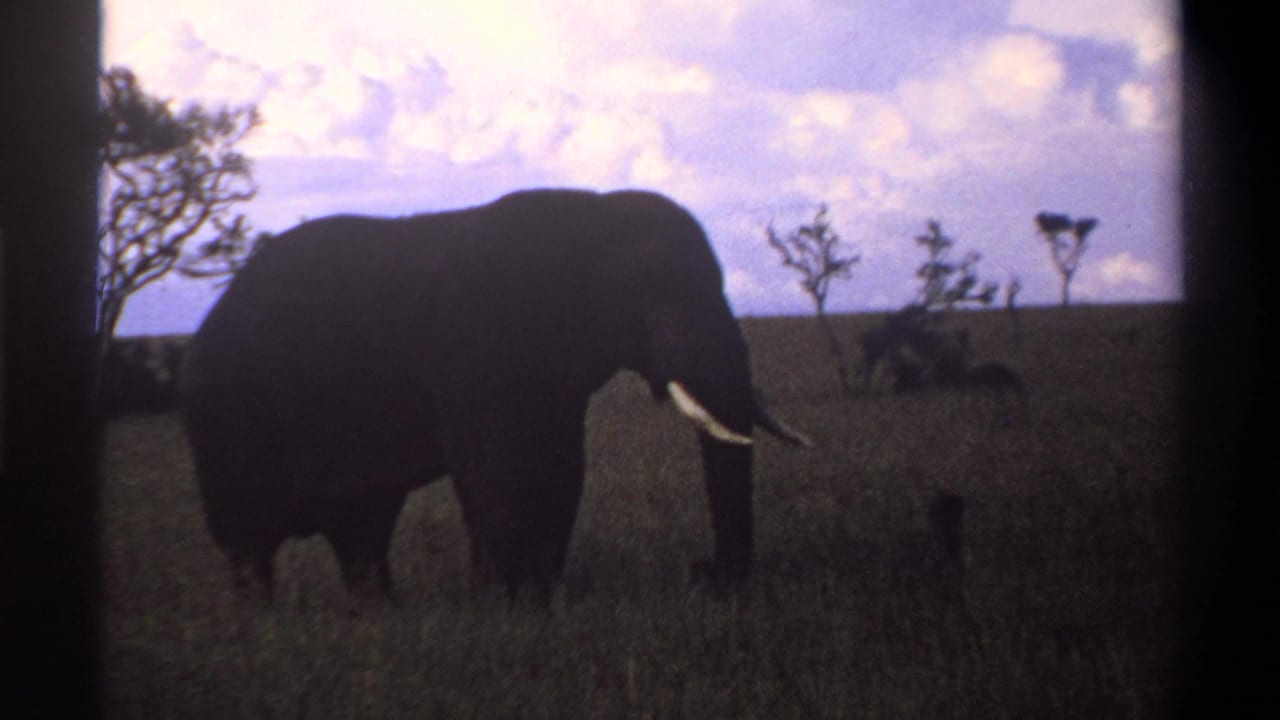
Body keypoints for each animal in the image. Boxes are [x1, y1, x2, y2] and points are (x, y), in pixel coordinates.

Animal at [180, 188, 810, 603]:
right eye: (653, 295)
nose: (702, 571)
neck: (594, 217)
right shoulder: (474, 339)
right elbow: (496, 469)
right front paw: (508, 604)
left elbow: (561, 467)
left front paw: (541, 594)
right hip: (228, 414)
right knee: (250, 538)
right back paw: (264, 623)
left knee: (363, 526)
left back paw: (379, 612)